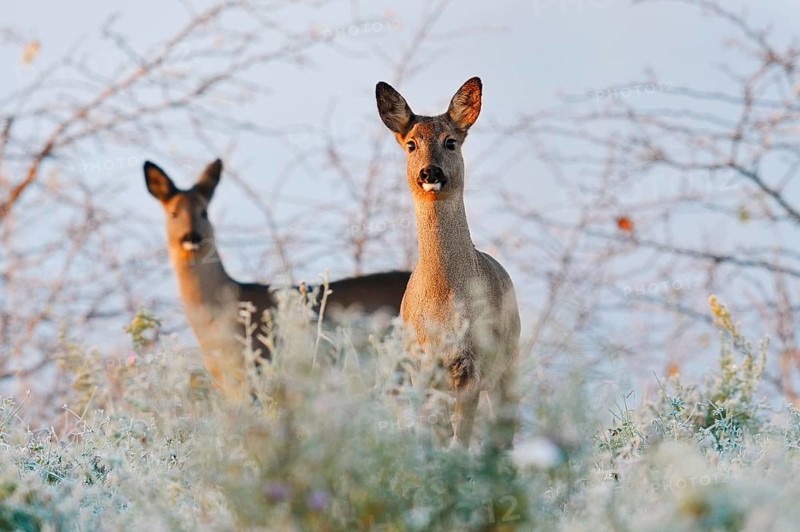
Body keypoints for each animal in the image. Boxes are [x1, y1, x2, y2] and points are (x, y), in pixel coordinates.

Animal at [376, 77, 521, 449]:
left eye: (450, 142)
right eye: (411, 144)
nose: (430, 171)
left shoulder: (472, 366)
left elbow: (460, 443)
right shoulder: (419, 367)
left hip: (509, 361)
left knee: (506, 428)